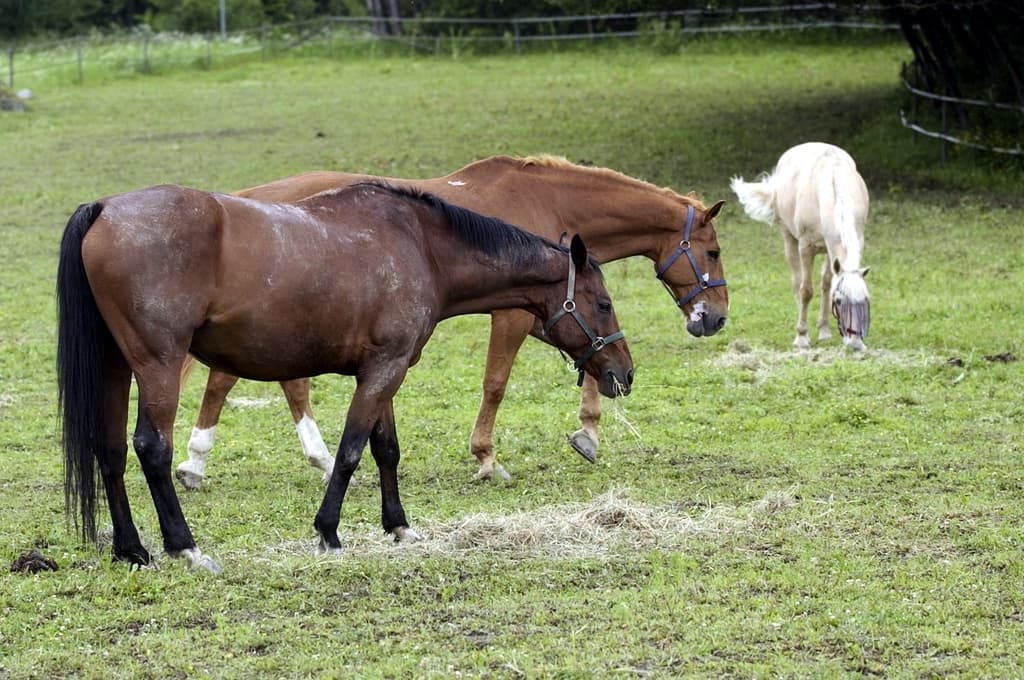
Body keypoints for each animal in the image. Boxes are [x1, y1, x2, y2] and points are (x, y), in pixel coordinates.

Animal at [56, 181, 633, 572]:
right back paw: (185, 547)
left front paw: (399, 526)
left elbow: (386, 450)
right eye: (603, 304)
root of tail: (104, 209)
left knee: (110, 450)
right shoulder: (382, 372)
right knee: (151, 448)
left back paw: (132, 549)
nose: (623, 373)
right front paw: (329, 533)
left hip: (115, 366)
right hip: (157, 366)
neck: (421, 246)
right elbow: (352, 451)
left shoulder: (386, 370)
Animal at [174, 155, 728, 489]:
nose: (716, 317)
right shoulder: (512, 316)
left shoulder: (546, 312)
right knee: (235, 380)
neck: (547, 202)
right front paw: (486, 457)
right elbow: (496, 384)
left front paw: (588, 432)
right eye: (714, 252)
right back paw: (208, 459)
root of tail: (254, 196)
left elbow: (590, 358)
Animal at [730, 142, 870, 351]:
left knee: (825, 282)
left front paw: (824, 331)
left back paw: (823, 330)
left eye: (865, 301)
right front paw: (802, 337)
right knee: (797, 282)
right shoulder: (806, 247)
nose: (855, 344)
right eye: (839, 301)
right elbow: (806, 291)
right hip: (789, 238)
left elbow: (827, 285)